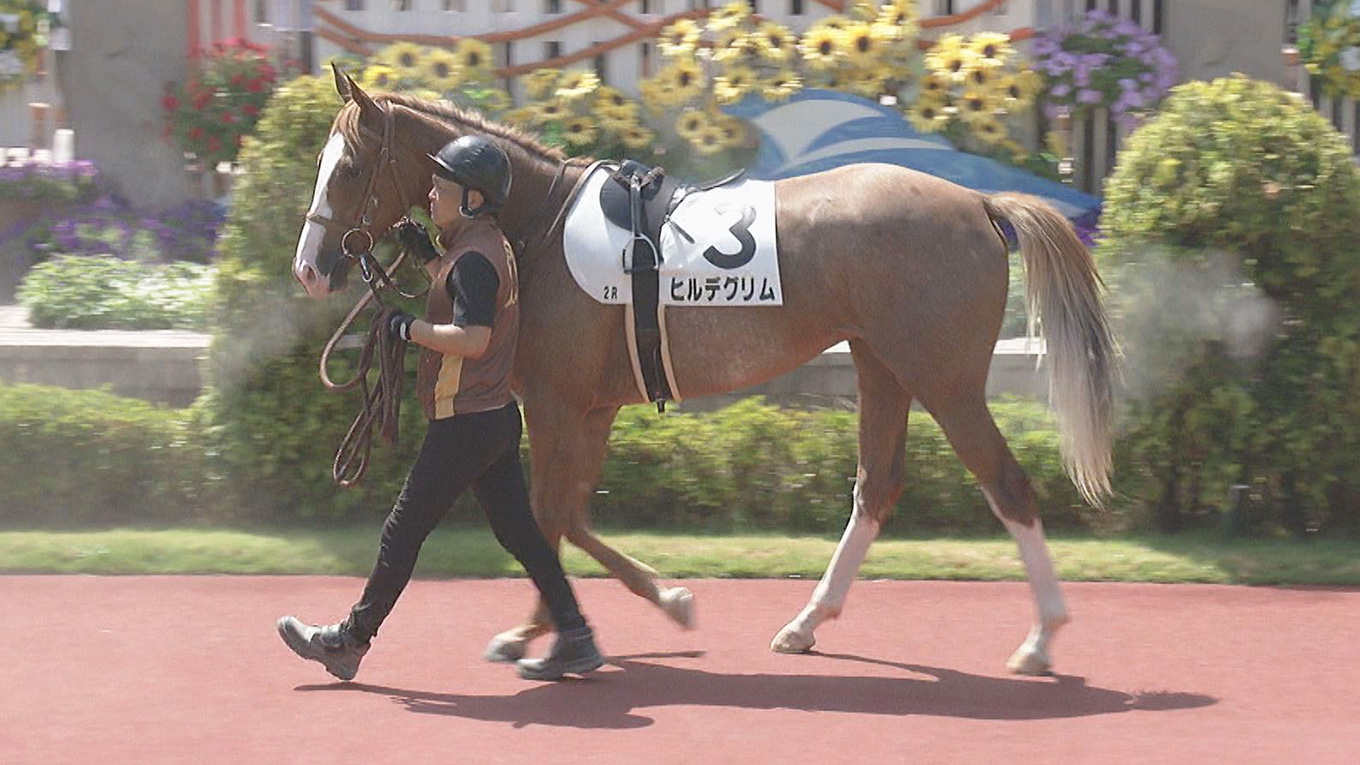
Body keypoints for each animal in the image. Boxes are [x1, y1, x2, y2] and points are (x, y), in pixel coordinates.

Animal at [291, 67, 1116, 676]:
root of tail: (979, 201)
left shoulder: (558, 403)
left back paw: (1042, 636)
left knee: (1005, 482)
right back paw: (807, 622)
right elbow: (567, 515)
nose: (310, 267)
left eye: (352, 166)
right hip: (881, 363)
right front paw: (646, 604)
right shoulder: (592, 408)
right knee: (877, 486)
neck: (537, 224)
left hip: (944, 377)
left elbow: (547, 516)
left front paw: (553, 633)